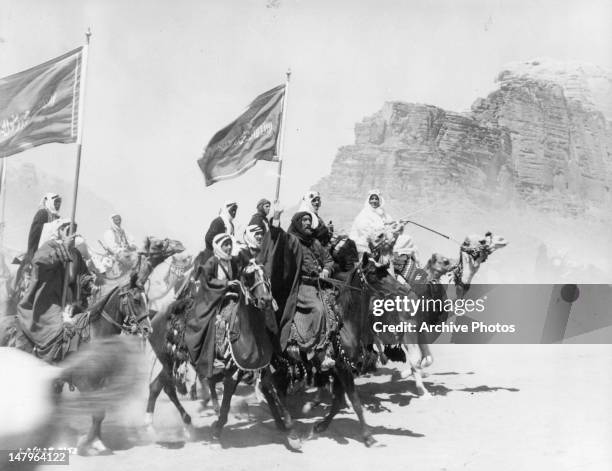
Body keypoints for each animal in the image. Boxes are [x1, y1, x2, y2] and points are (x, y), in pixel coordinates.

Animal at [0, 238, 184, 456]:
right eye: (136, 299)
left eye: (146, 298)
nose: (148, 329)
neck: (96, 334)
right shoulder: (85, 383)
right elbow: (96, 412)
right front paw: (89, 442)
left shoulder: (101, 383)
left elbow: (100, 414)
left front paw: (95, 441)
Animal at [145, 262, 274, 442]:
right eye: (248, 277)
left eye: (266, 274)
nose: (266, 300)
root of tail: (155, 318)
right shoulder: (231, 374)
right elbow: (225, 403)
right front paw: (217, 426)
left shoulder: (257, 369)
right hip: (168, 362)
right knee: (161, 388)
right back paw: (156, 427)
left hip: (170, 363)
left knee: (161, 387)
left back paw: (183, 424)